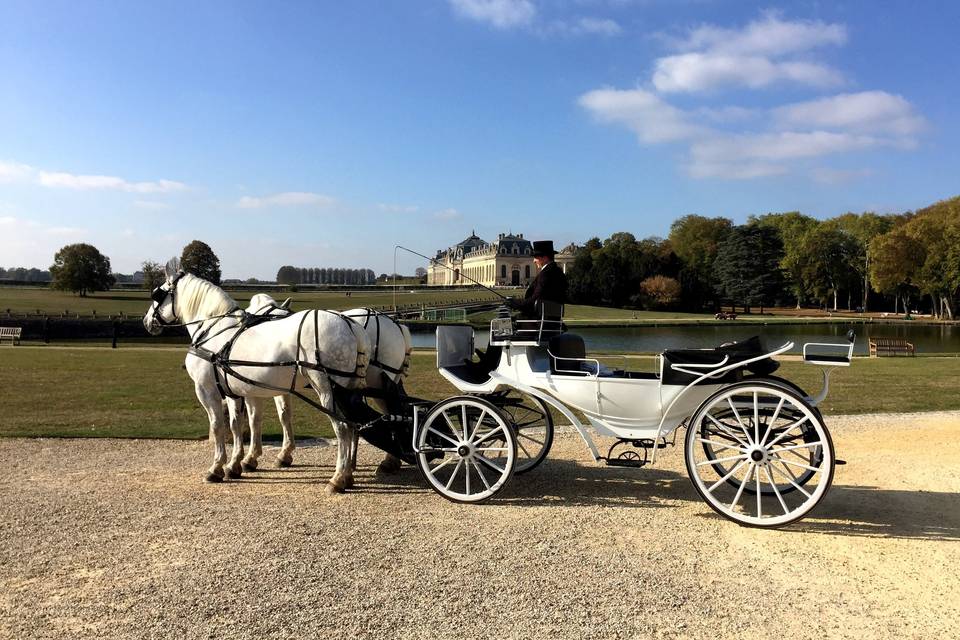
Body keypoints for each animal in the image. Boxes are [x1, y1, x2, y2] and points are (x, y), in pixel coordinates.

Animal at [145, 262, 372, 492]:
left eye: (157, 294)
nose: (146, 322)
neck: (215, 329)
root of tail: (351, 325)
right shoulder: (237, 391)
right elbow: (238, 424)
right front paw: (236, 464)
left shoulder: (206, 390)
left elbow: (218, 426)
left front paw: (216, 468)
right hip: (347, 392)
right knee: (353, 426)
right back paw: (348, 475)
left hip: (328, 390)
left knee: (342, 428)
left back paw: (337, 478)